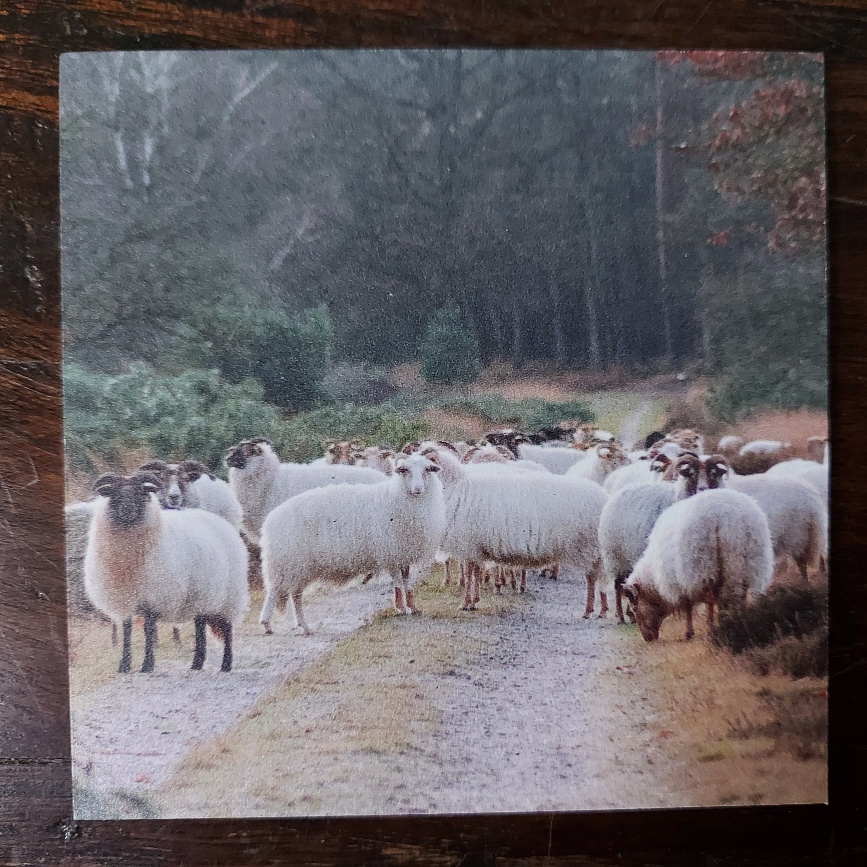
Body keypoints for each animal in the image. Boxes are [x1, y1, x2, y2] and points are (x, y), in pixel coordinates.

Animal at [82, 474, 248, 672]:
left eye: (141, 492)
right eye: (114, 493)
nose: (127, 509)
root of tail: (223, 523)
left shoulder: (153, 596)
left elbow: (148, 630)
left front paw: (147, 665)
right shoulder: (127, 597)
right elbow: (127, 630)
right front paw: (124, 665)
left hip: (229, 596)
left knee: (228, 628)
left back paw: (226, 664)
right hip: (201, 596)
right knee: (200, 626)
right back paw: (196, 663)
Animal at [260, 450, 448, 636]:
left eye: (427, 470)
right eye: (405, 470)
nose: (418, 489)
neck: (396, 497)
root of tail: (270, 521)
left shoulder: (404, 552)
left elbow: (406, 580)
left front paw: (412, 606)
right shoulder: (391, 551)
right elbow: (396, 581)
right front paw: (401, 607)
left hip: (295, 567)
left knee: (292, 594)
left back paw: (298, 625)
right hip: (290, 564)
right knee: (279, 592)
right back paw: (273, 624)